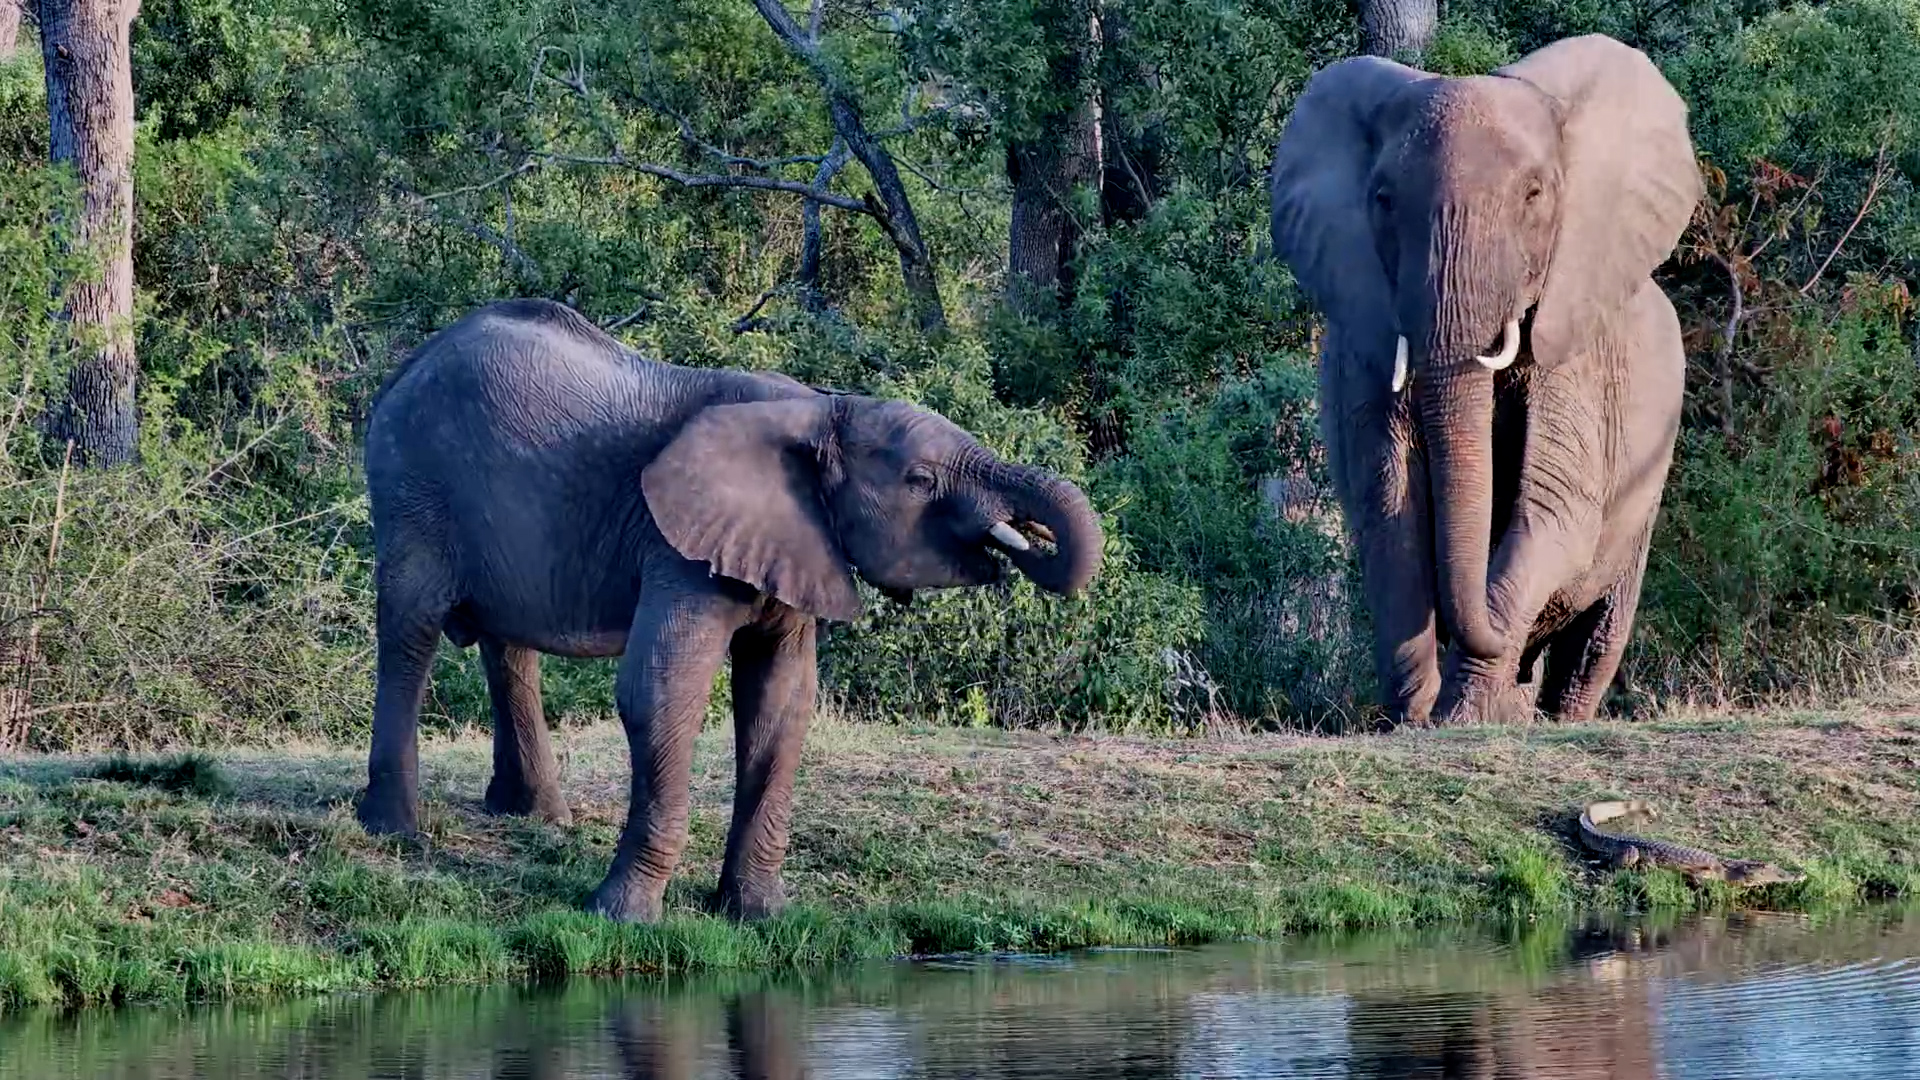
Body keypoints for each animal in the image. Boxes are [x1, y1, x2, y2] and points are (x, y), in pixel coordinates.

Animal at [357, 298, 1103, 922]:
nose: (1025, 536)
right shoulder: (676, 546)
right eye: (920, 481)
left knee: (508, 646)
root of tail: (405, 368)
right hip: (413, 489)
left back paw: (534, 819)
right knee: (411, 629)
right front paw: (621, 918)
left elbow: (782, 700)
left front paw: (760, 916)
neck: (824, 408)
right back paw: (393, 829)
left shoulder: (795, 543)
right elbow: (660, 690)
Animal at [1266, 34, 1702, 726]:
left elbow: (1552, 512)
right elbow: (1390, 505)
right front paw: (1416, 720)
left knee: (1596, 637)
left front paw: (1466, 715)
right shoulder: (1367, 344)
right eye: (1383, 199)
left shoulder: (1574, 358)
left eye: (1534, 195)